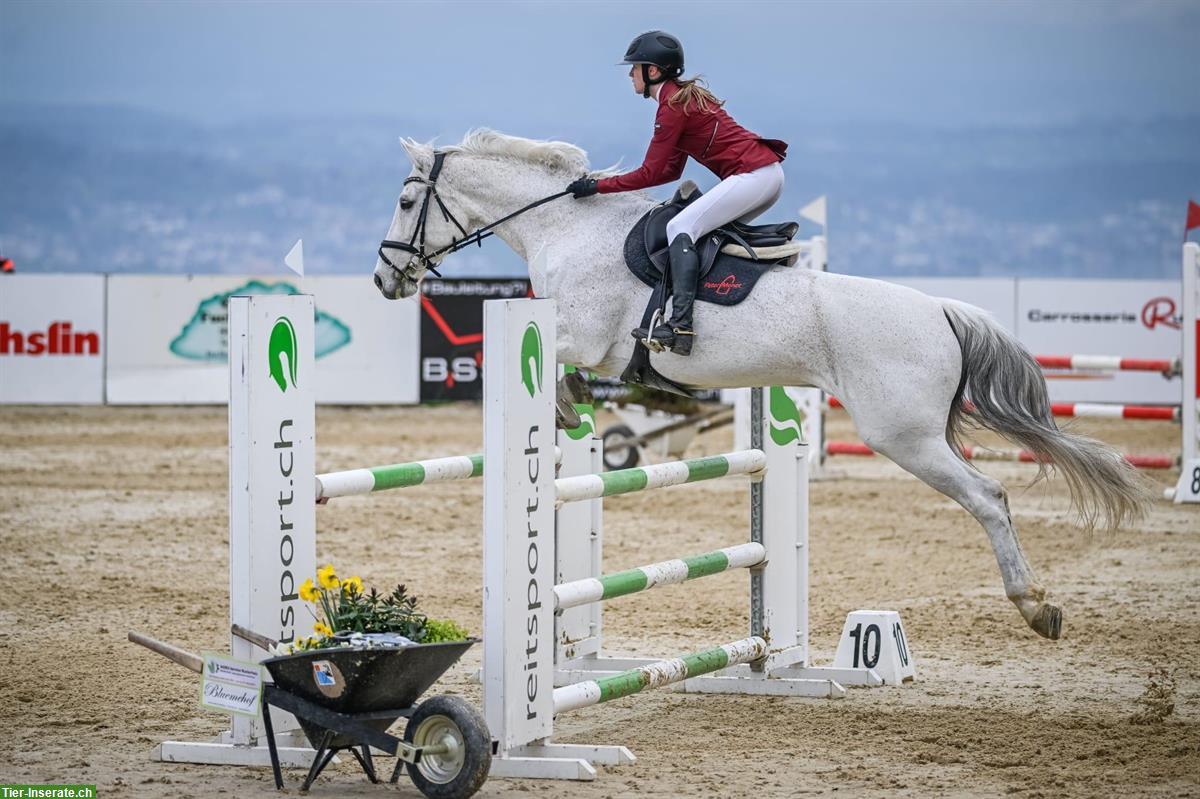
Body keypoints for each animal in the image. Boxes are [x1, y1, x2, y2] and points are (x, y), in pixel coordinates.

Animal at [372, 130, 1142, 643]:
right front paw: (577, 409)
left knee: (988, 496)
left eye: (408, 199)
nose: (385, 278)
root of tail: (944, 310)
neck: (565, 227)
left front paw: (567, 405)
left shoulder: (582, 335)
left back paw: (1035, 605)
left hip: (903, 435)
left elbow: (560, 364)